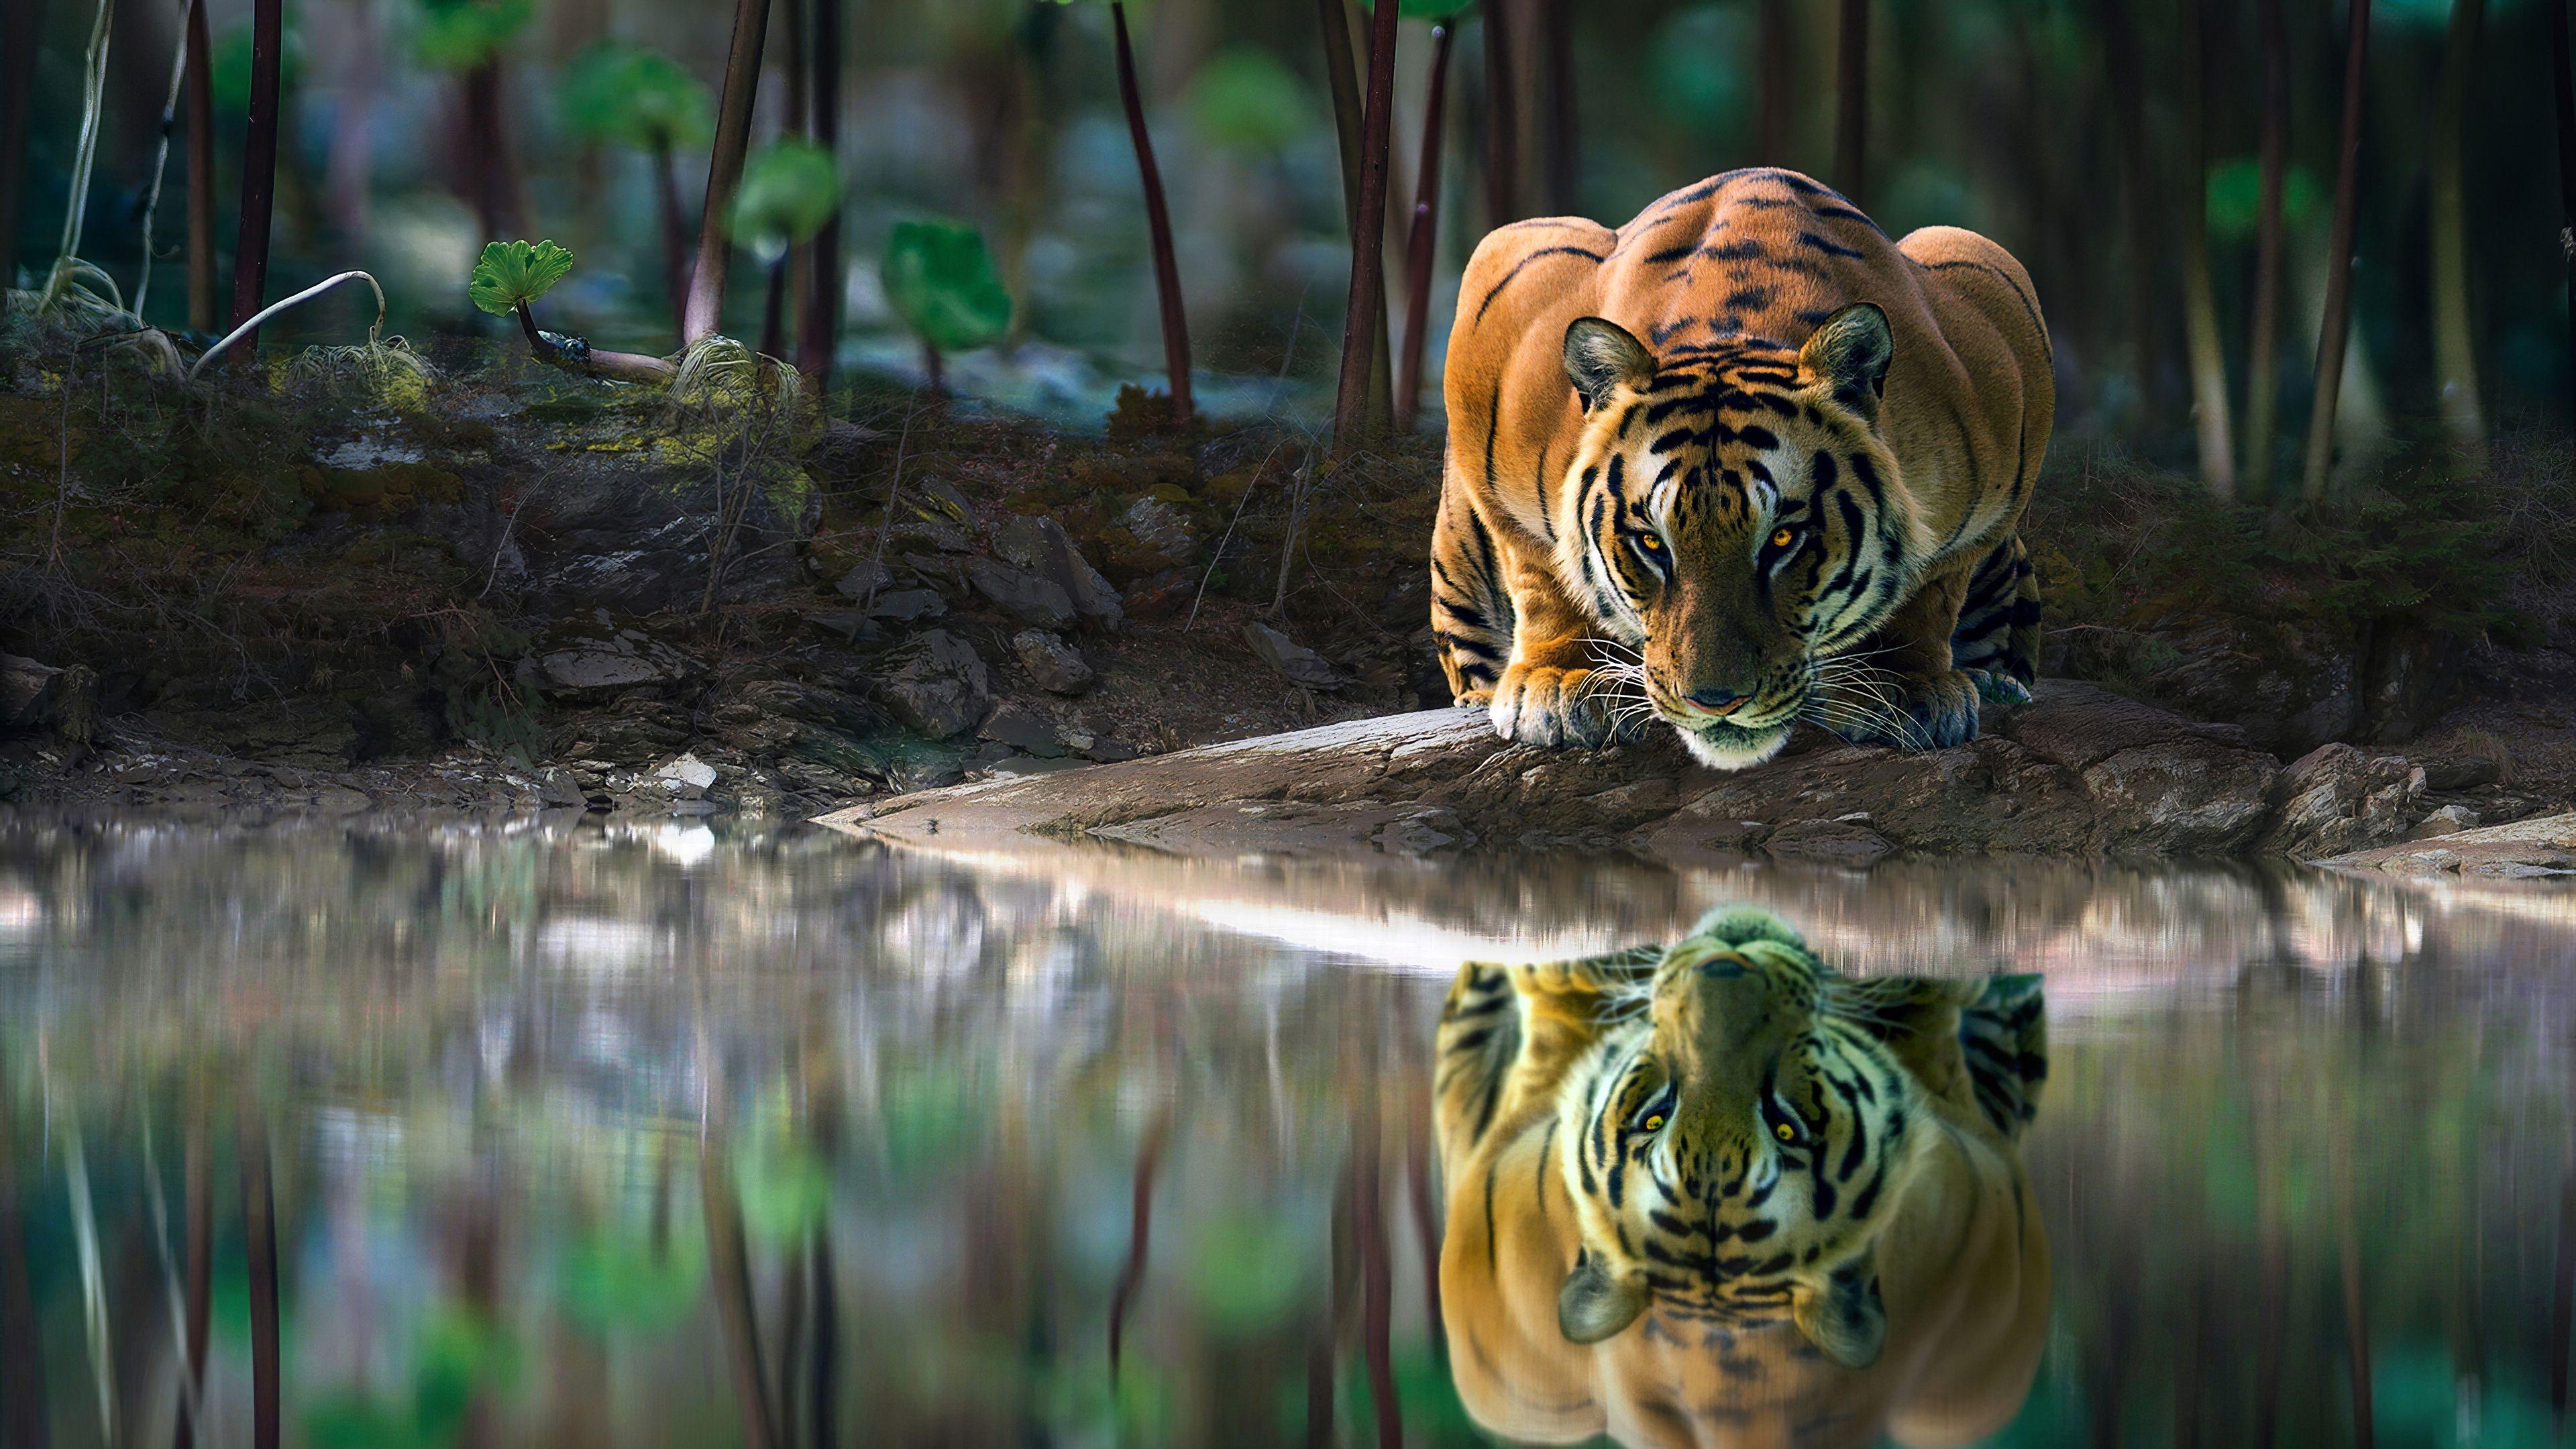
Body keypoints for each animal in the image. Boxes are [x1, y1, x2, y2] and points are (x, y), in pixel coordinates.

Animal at [1430, 167, 2052, 769]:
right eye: (1651, 544)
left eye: (1782, 540)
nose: (1715, 702)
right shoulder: (1506, 285)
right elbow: (1542, 570)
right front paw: (1564, 681)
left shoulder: (1999, 318)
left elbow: (1932, 586)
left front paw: (1902, 685)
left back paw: (1997, 683)